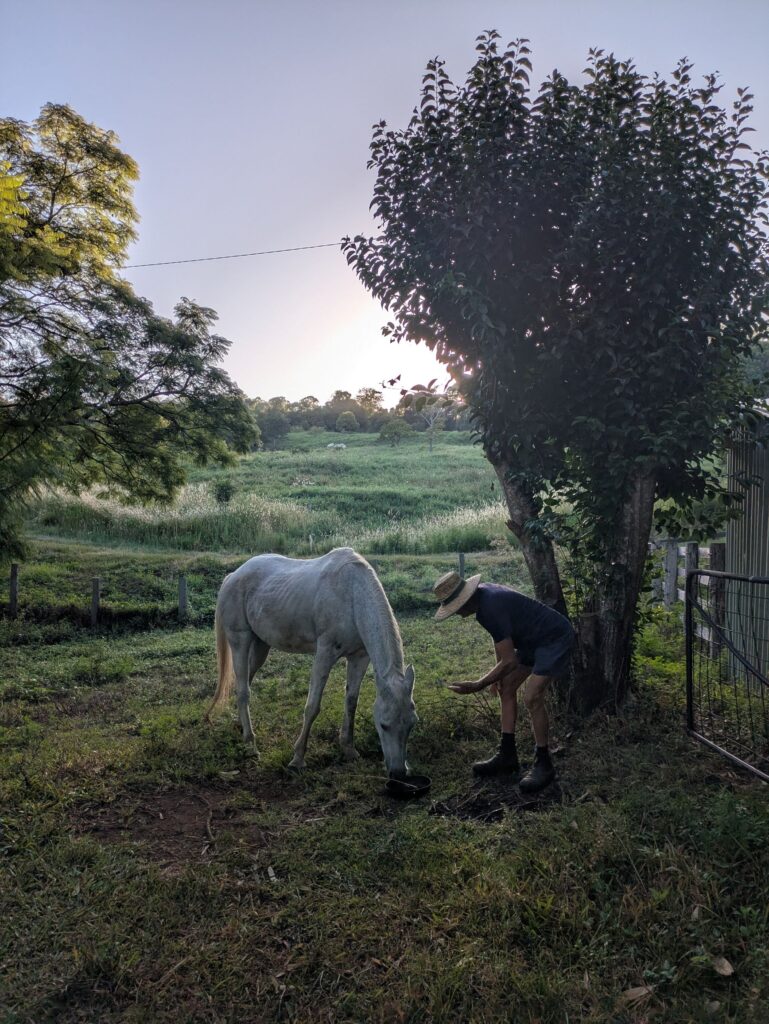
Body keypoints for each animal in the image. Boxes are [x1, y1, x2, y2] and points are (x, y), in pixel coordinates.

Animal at [207, 547, 417, 776]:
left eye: (412, 724)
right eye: (384, 724)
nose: (399, 772)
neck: (352, 595)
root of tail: (233, 575)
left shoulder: (359, 658)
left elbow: (351, 701)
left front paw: (349, 748)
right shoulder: (325, 653)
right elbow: (312, 706)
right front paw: (297, 759)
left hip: (261, 645)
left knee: (244, 682)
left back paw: (241, 726)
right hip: (240, 640)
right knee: (244, 690)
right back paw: (250, 743)